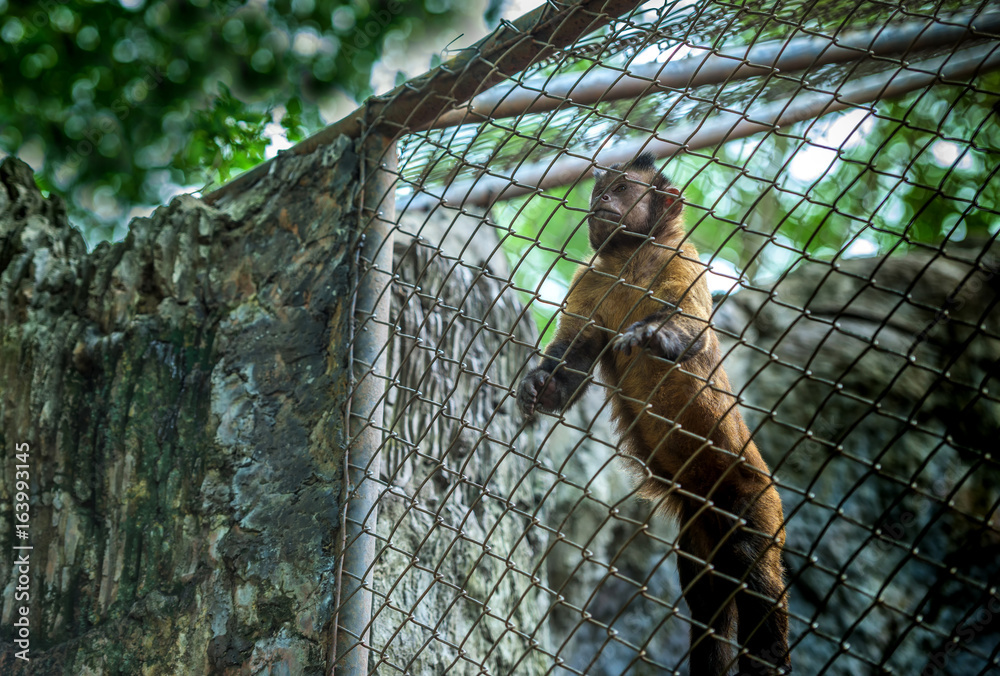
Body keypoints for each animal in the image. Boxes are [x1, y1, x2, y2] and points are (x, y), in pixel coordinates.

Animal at [516, 154, 788, 676]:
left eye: (622, 187)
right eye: (599, 189)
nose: (602, 199)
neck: (631, 260)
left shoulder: (683, 261)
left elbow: (692, 328)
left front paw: (653, 337)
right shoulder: (590, 278)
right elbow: (574, 358)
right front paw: (539, 384)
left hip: (754, 496)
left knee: (753, 564)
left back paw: (767, 654)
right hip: (699, 530)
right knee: (708, 599)